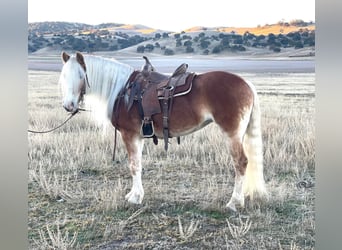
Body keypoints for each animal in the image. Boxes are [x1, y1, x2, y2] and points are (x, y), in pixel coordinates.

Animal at [58, 50, 268, 211]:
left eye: (80, 76)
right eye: (63, 77)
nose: (68, 106)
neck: (123, 90)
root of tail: (247, 84)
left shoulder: (129, 134)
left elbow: (133, 165)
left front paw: (135, 198)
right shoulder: (138, 136)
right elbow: (138, 165)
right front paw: (135, 194)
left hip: (232, 135)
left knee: (241, 163)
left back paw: (234, 202)